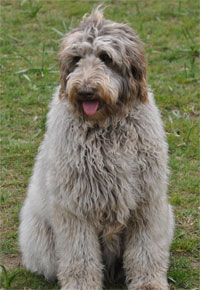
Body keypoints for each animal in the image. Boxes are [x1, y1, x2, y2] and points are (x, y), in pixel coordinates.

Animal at [19, 6, 174, 290]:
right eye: (76, 58)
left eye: (106, 57)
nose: (85, 91)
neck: (107, 126)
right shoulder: (75, 207)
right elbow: (80, 258)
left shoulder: (148, 201)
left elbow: (146, 251)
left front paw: (148, 284)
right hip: (42, 243)